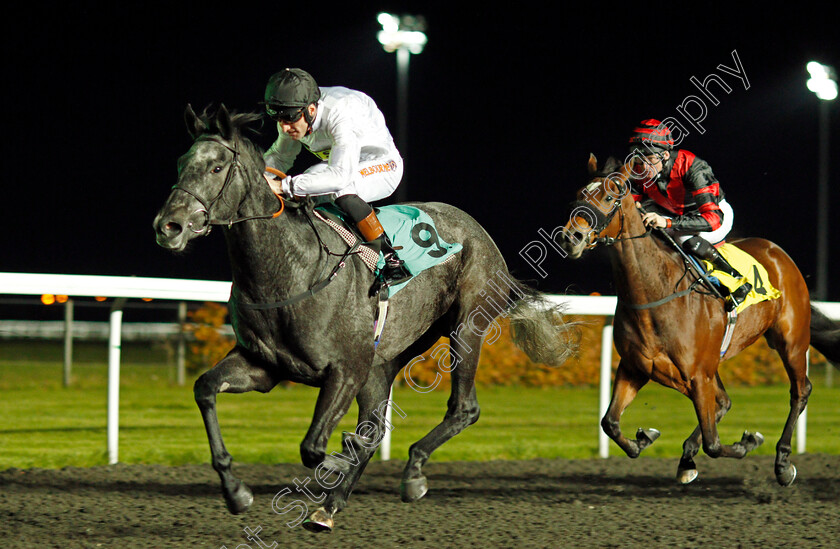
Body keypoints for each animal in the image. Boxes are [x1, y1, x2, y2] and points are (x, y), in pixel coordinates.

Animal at [153, 106, 576, 532]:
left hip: (465, 327)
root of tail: (479, 232)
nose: (168, 226)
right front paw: (236, 491)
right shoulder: (264, 366)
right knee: (375, 428)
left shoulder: (345, 370)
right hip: (383, 360)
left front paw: (338, 461)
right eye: (181, 163)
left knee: (462, 408)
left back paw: (412, 473)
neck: (291, 270)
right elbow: (205, 388)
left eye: (217, 166)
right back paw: (331, 506)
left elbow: (313, 448)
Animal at [556, 153, 840, 484]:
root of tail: (778, 253)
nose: (571, 237)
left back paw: (782, 462)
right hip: (715, 361)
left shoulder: (696, 375)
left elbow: (714, 444)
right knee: (724, 401)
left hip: (791, 340)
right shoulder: (635, 368)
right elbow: (610, 423)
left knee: (800, 391)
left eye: (609, 197)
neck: (655, 292)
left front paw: (747, 443)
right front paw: (645, 438)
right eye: (579, 195)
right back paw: (687, 457)